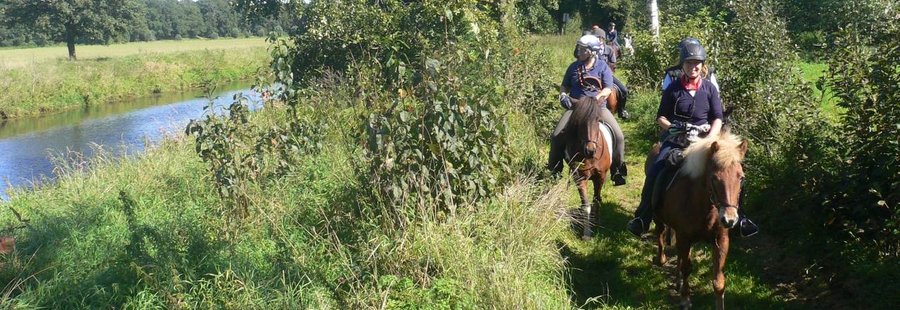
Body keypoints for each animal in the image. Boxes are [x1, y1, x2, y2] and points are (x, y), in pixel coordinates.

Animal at [568, 96, 616, 240]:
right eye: (579, 121)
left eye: (598, 120)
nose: (590, 150)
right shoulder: (579, 178)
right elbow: (586, 205)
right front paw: (587, 233)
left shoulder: (600, 177)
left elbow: (596, 200)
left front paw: (597, 224)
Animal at [652, 131, 748, 310]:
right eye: (714, 178)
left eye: (741, 178)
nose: (729, 219)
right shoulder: (684, 237)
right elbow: (687, 268)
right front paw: (685, 299)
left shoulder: (721, 240)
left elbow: (718, 281)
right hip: (659, 218)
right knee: (660, 234)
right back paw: (662, 260)